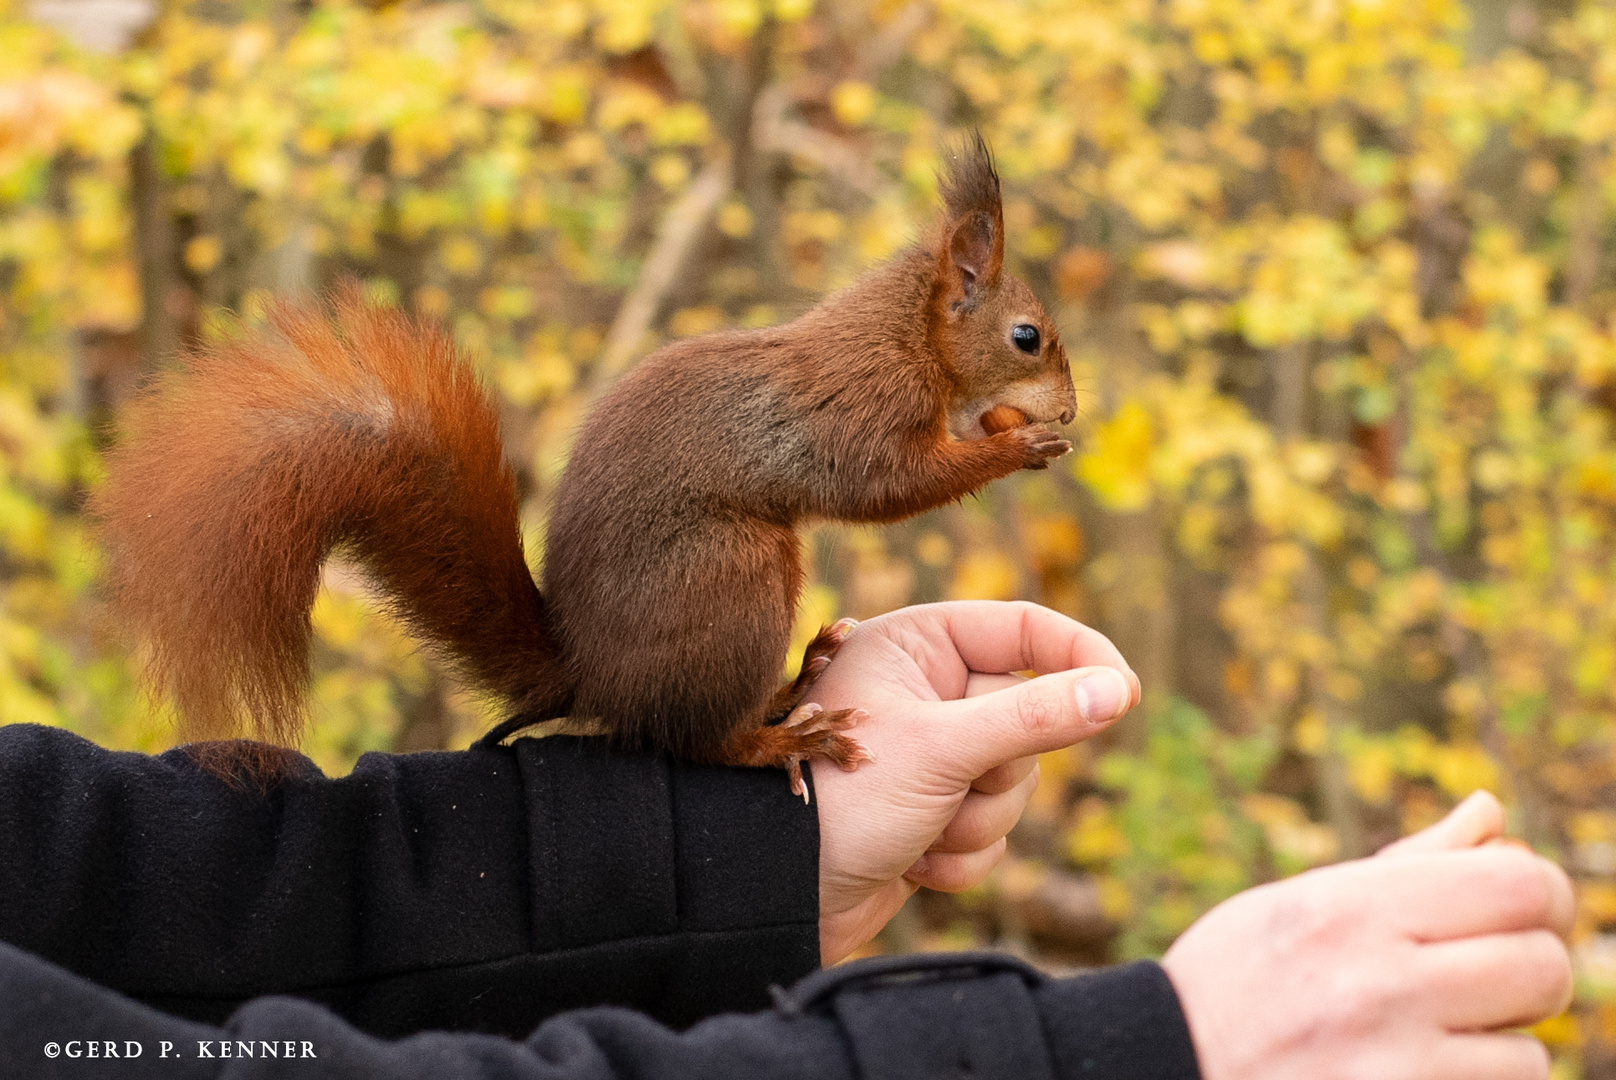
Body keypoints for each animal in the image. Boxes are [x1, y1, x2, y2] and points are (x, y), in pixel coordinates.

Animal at [91, 132, 1073, 792]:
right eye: (1026, 337)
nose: (1070, 409)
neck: (909, 339)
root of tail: (587, 672)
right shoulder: (855, 412)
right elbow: (886, 487)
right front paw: (1015, 443)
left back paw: (802, 678)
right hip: (733, 575)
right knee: (694, 739)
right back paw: (783, 734)